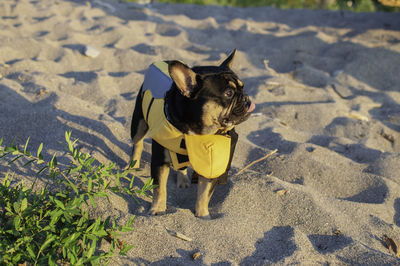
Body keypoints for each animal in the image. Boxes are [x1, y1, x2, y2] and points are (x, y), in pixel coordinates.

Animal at [130, 49, 255, 218]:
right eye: (228, 93)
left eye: (243, 88)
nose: (246, 97)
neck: (197, 131)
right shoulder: (159, 161)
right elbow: (159, 188)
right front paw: (158, 209)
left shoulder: (211, 163)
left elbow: (204, 194)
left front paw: (203, 215)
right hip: (139, 122)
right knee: (137, 143)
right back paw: (132, 165)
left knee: (181, 164)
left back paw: (183, 180)